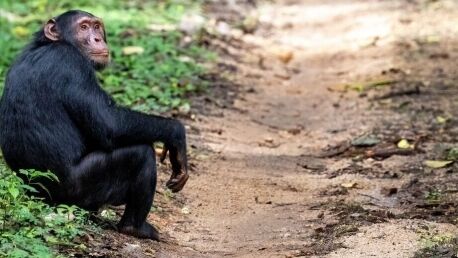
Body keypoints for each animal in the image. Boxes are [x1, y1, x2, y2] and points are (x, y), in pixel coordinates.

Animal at [0, 9, 190, 240]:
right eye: (83, 27)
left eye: (97, 26)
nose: (97, 38)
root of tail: (37, 197)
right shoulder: (71, 64)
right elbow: (110, 123)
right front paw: (176, 135)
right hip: (80, 192)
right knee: (140, 153)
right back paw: (135, 227)